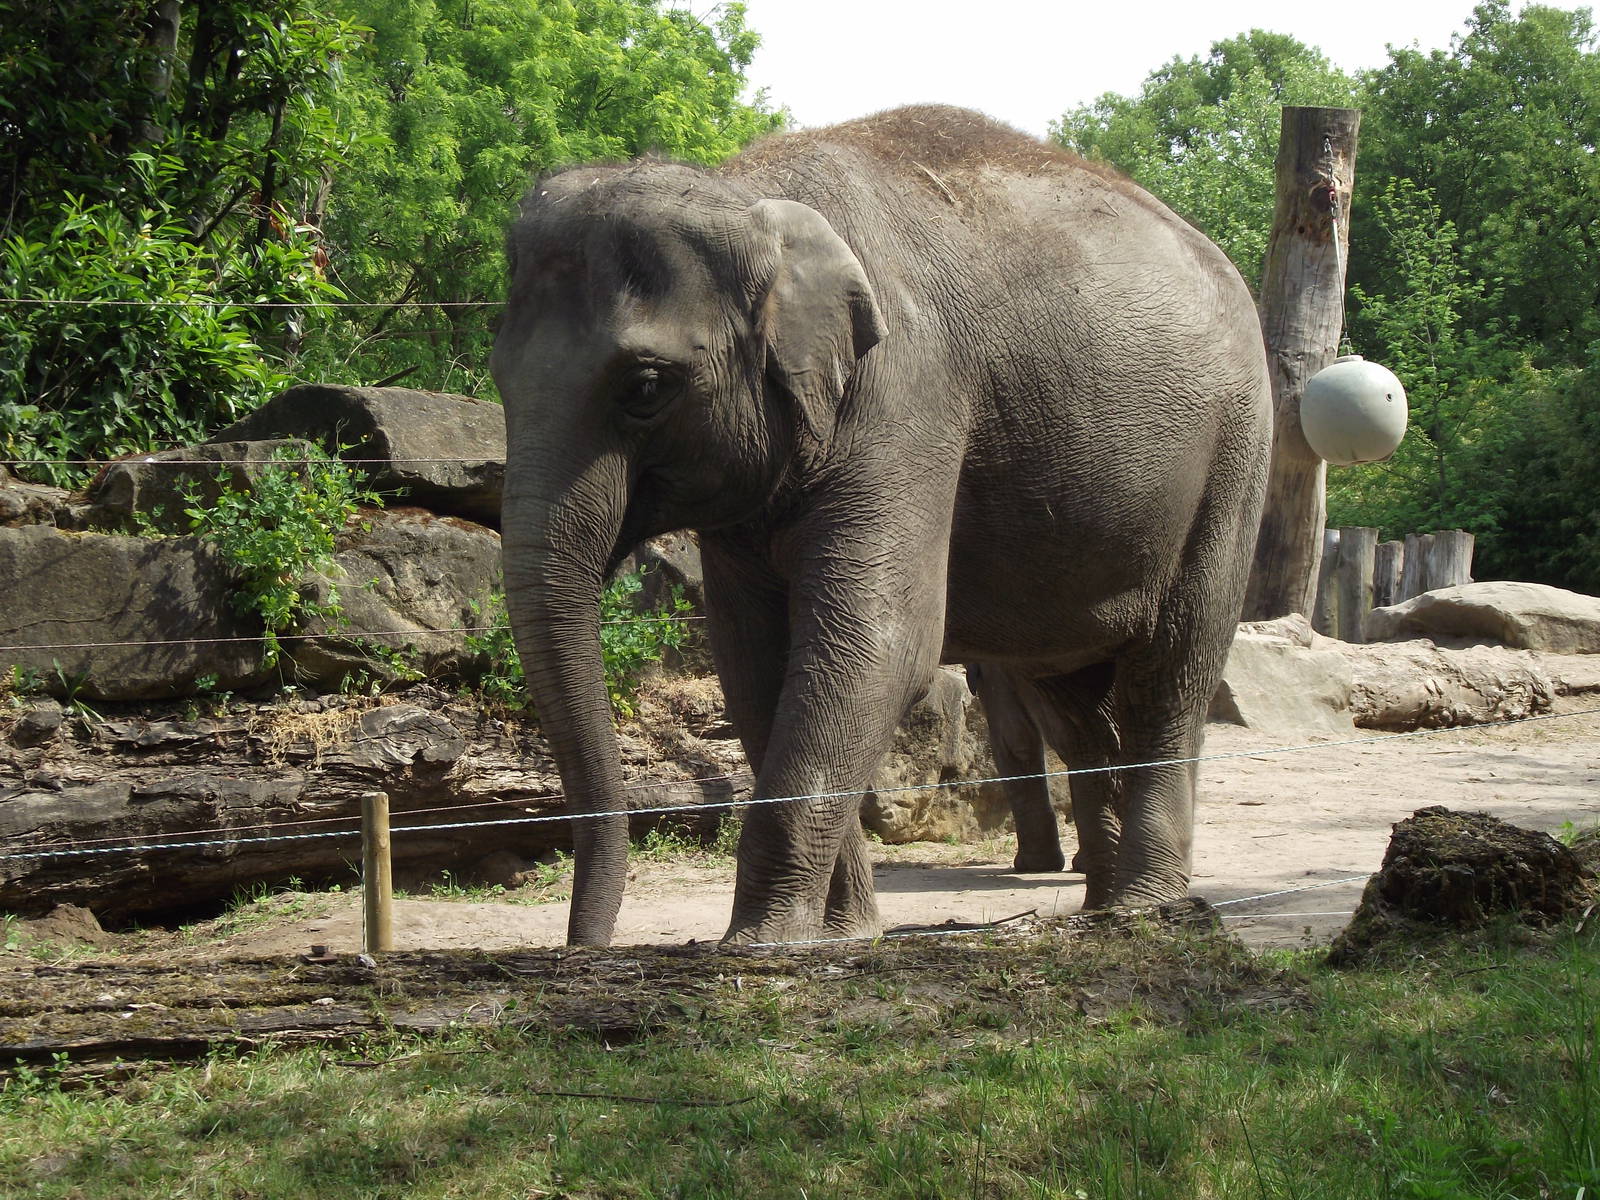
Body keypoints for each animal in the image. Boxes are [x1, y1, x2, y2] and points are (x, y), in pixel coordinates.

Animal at [491, 105, 1273, 948]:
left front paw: (763, 940)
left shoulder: (907, 393)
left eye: (643, 387)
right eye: (501, 381)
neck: (749, 198)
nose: (583, 947)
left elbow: (879, 639)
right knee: (1072, 698)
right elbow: (754, 661)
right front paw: (841, 934)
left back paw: (1141, 906)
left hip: (1235, 457)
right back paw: (1099, 907)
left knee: (1173, 669)